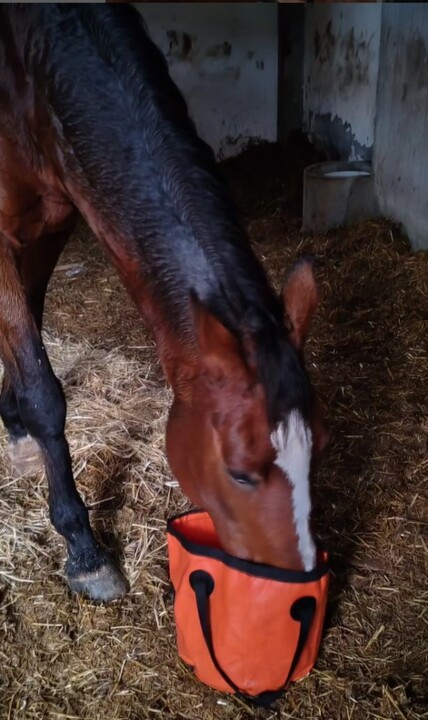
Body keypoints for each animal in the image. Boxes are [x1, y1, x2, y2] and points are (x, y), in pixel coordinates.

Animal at [0, 4, 328, 602]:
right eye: (241, 472)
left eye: (320, 445)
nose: (295, 582)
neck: (27, 67)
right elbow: (43, 389)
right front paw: (83, 549)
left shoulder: (52, 218)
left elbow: (27, 324)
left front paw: (13, 423)